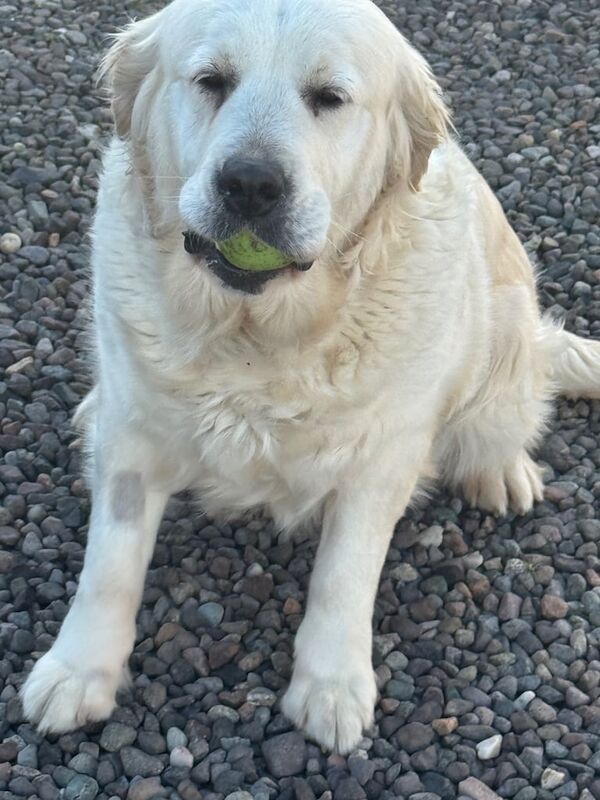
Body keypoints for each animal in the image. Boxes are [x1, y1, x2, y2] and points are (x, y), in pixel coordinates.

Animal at [19, 0, 600, 756]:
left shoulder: (379, 460)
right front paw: (78, 670)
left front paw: (330, 687)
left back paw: (500, 470)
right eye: (211, 80)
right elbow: (109, 565)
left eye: (329, 97)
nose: (251, 184)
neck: (259, 337)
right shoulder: (134, 444)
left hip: (503, 333)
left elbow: (343, 576)